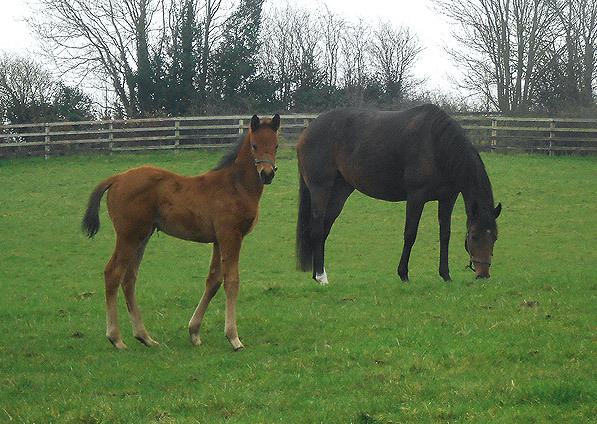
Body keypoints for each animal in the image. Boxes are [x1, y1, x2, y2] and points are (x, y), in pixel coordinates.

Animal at [296, 105, 500, 284]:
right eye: (474, 236)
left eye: (495, 237)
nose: (483, 275)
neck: (436, 145)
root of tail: (308, 130)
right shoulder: (416, 197)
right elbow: (410, 234)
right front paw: (403, 274)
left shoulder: (447, 199)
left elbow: (445, 235)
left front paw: (445, 275)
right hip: (320, 188)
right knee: (316, 229)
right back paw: (321, 277)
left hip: (340, 191)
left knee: (325, 228)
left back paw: (317, 273)